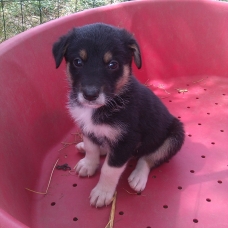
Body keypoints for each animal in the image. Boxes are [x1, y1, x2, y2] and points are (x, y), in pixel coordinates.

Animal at [52, 22, 184, 207]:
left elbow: (110, 169)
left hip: (175, 135)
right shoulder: (87, 127)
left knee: (149, 157)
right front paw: (89, 164)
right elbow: (91, 148)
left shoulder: (126, 140)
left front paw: (102, 192)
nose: (90, 95)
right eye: (78, 62)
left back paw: (138, 176)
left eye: (113, 64)